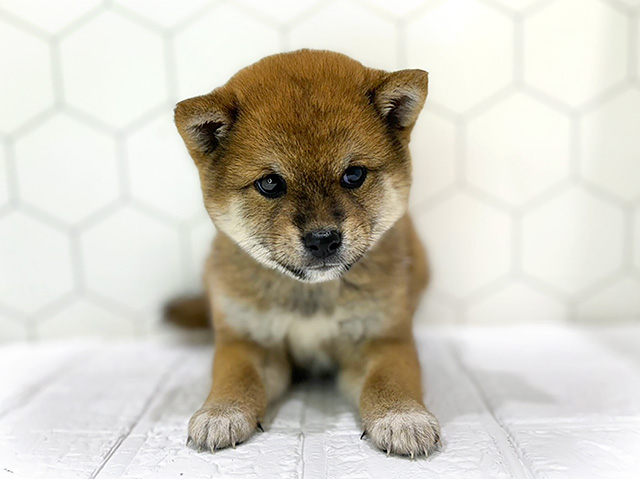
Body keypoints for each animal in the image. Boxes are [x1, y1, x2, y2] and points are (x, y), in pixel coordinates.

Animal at [170, 48, 440, 458]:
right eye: (270, 183)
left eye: (353, 175)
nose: (323, 239)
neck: (310, 295)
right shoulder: (247, 342)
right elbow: (235, 378)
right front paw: (220, 413)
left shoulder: (383, 339)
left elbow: (391, 379)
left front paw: (402, 417)